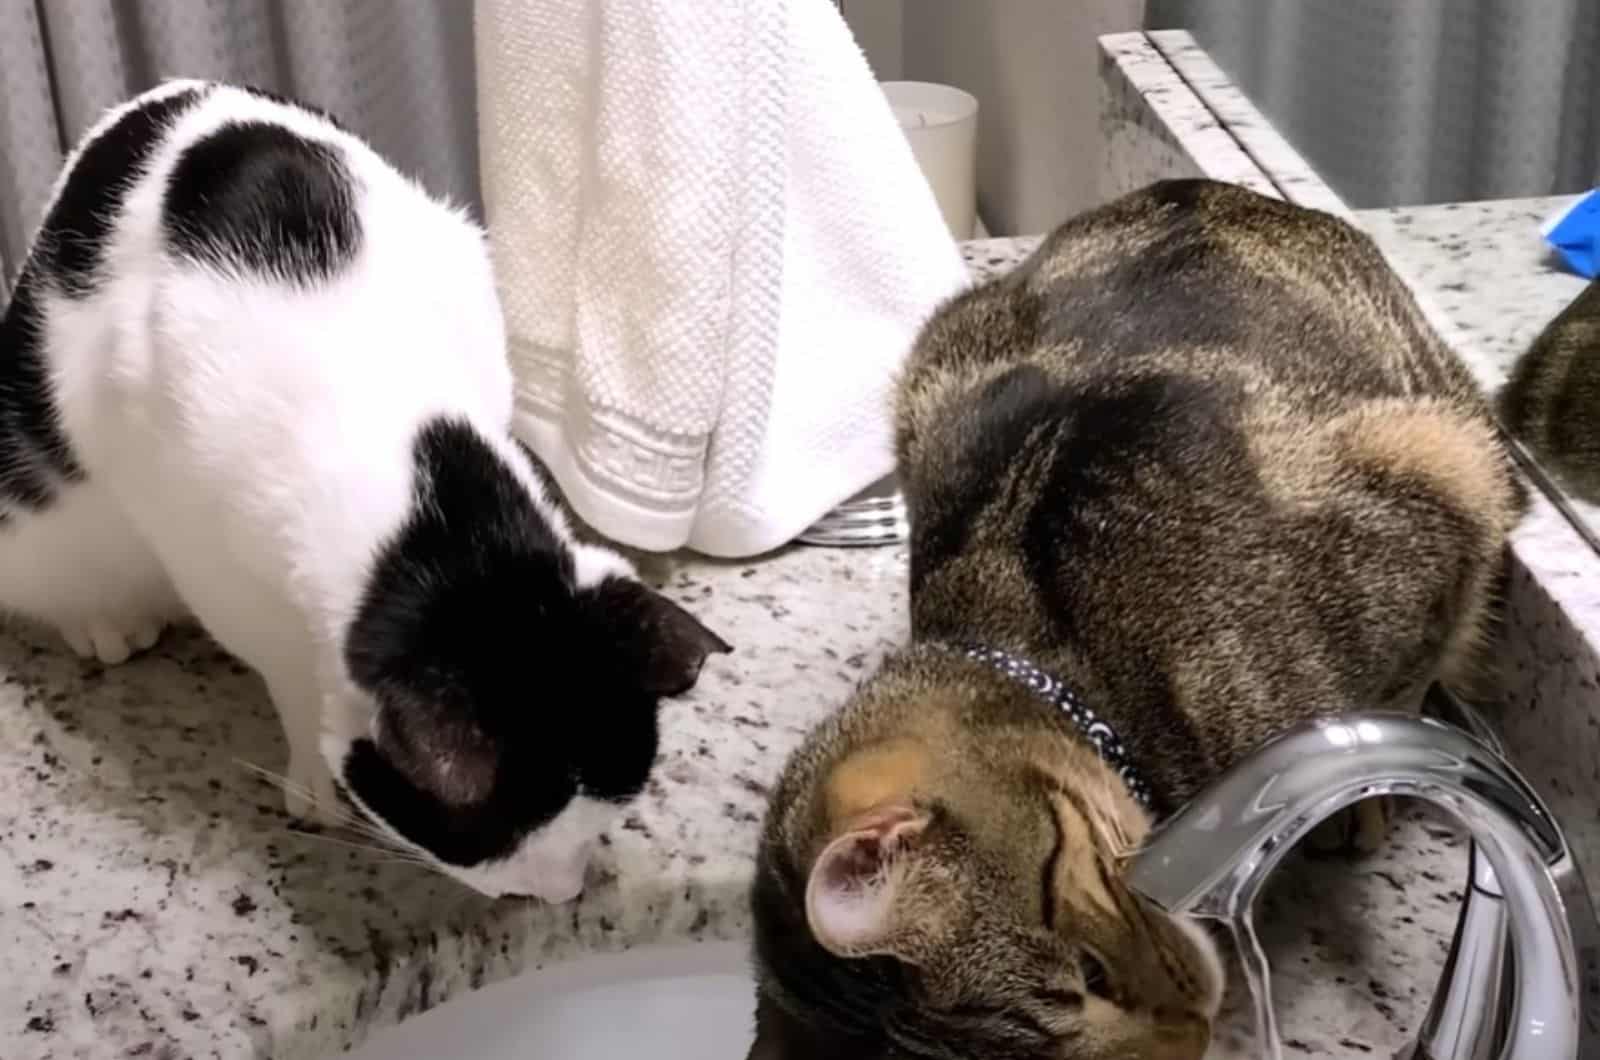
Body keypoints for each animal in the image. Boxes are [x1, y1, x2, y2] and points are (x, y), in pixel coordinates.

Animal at [0, 80, 732, 903]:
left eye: (597, 827)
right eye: (492, 844)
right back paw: (103, 620)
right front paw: (314, 776)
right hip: (41, 509)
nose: (560, 892)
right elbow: (290, 676)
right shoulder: (216, 571)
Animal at [742, 178, 1516, 1056]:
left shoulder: (1437, 496)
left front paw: (1363, 799)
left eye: (1089, 973)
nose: (1192, 1036)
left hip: (1458, 438)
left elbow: (1402, 694)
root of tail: (1221, 192)